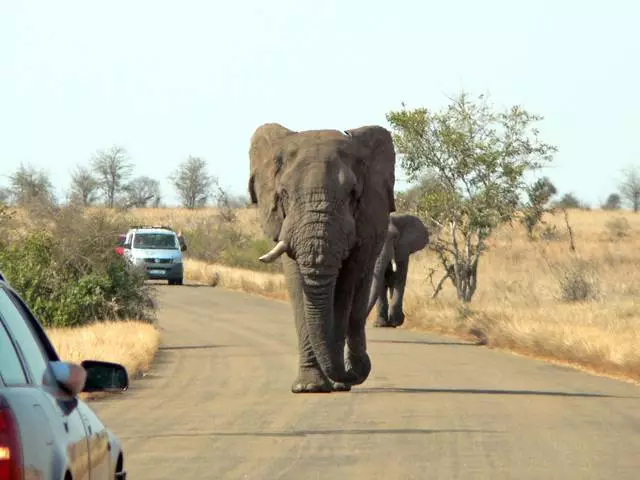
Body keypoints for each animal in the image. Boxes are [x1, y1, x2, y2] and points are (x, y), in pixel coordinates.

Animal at [249, 123, 396, 394]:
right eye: (284, 194)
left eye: (352, 195)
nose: (352, 375)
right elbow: (298, 288)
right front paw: (308, 387)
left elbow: (344, 290)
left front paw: (337, 382)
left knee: (357, 301)